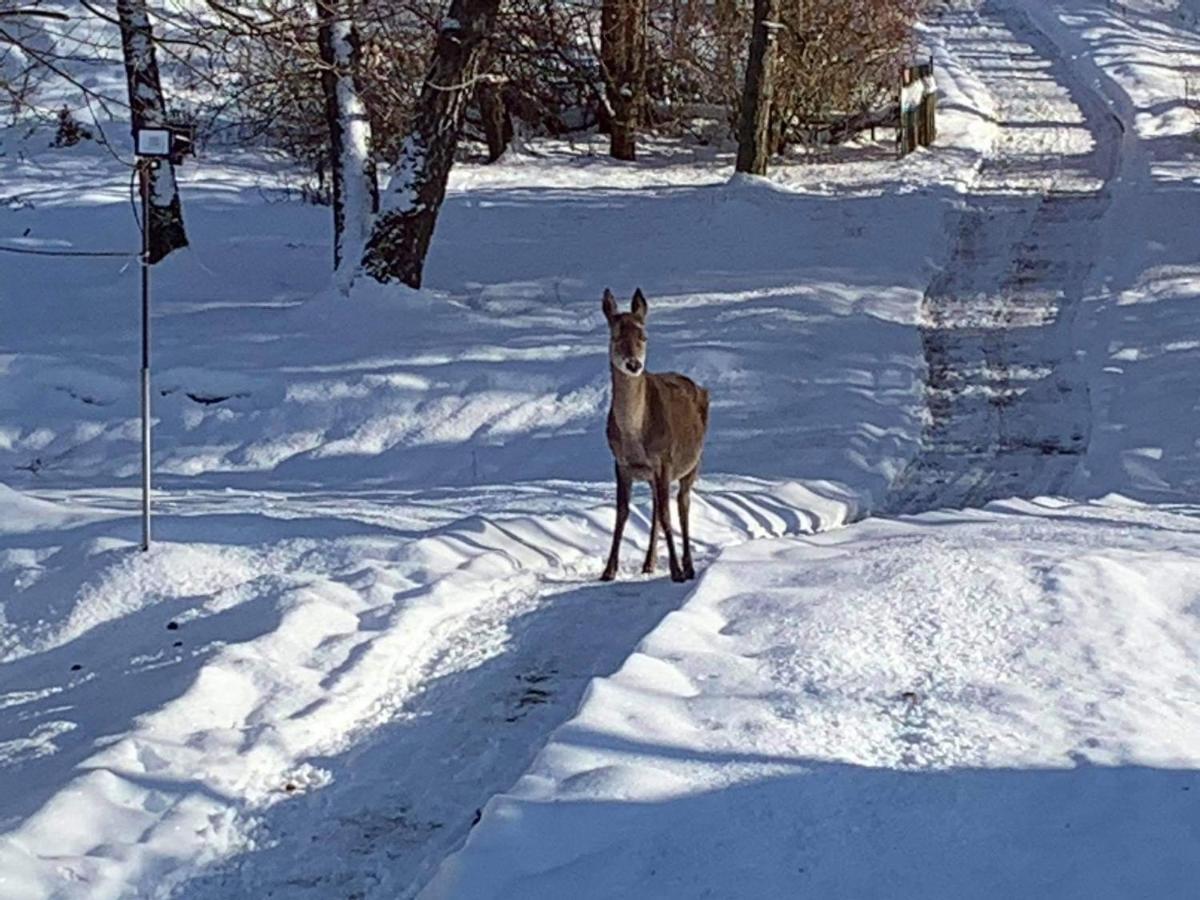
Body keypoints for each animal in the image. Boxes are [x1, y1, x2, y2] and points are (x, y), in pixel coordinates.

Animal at [597, 289, 705, 585]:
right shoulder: (621, 463)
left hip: (693, 463)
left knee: (682, 504)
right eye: (616, 336)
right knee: (658, 506)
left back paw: (688, 566)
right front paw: (608, 571)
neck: (635, 435)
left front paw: (677, 571)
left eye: (643, 337)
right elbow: (621, 513)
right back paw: (649, 563)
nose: (634, 364)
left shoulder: (664, 459)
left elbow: (668, 515)